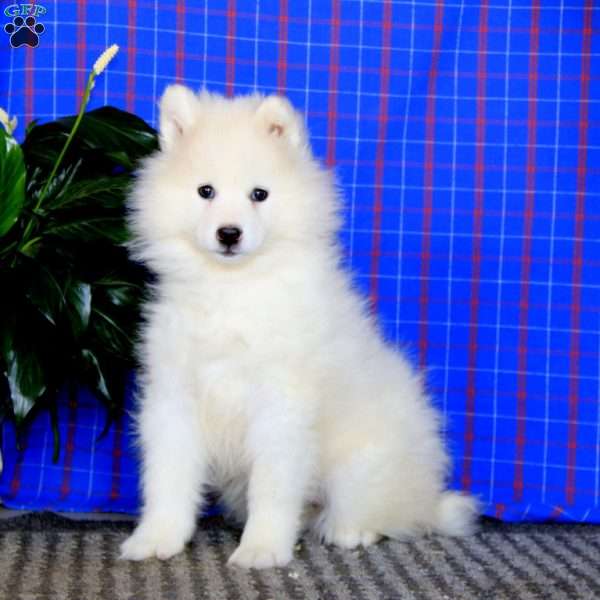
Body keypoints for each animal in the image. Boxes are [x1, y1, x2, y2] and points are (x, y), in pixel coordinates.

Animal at [120, 84, 478, 568]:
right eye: (205, 191)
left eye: (259, 194)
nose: (229, 233)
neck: (233, 288)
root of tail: (427, 496)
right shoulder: (175, 396)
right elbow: (168, 477)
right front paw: (156, 538)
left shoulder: (281, 405)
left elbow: (272, 487)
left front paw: (261, 549)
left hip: (362, 466)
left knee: (382, 510)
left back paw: (350, 531)